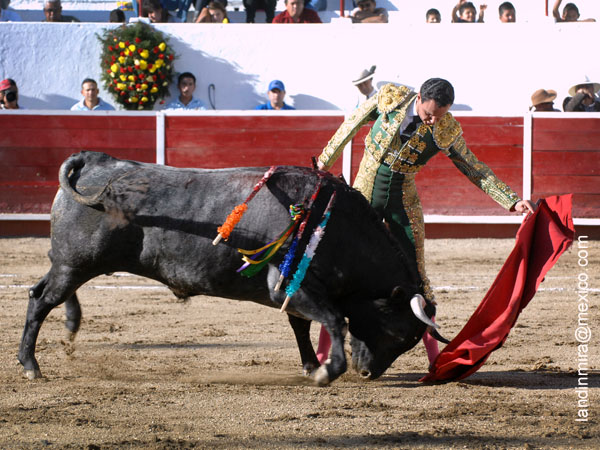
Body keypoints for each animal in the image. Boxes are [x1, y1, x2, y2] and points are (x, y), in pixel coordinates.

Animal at [18, 153, 442, 384]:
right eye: (399, 333)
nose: (368, 373)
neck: (334, 224)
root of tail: (97, 160)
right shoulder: (290, 285)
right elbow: (335, 321)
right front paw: (326, 371)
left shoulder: (294, 291)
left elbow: (303, 326)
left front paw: (310, 366)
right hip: (75, 263)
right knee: (40, 300)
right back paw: (31, 366)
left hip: (69, 263)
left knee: (43, 292)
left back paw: (68, 329)